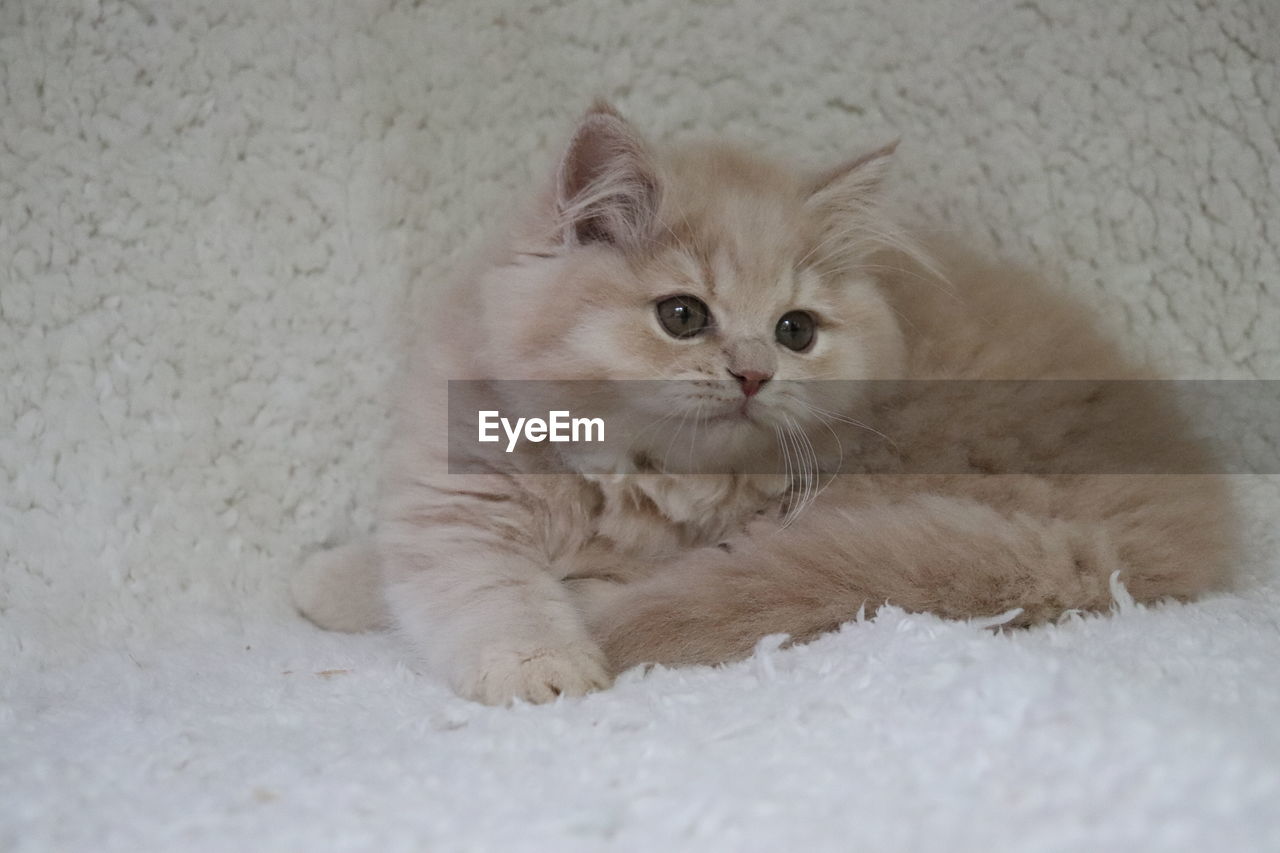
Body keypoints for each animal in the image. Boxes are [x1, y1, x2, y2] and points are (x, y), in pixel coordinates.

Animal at [290, 101, 1228, 701]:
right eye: (682, 316)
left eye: (795, 330)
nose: (752, 374)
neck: (610, 467)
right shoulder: (460, 483)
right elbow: (438, 567)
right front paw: (330, 580)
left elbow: (500, 592)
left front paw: (546, 666)